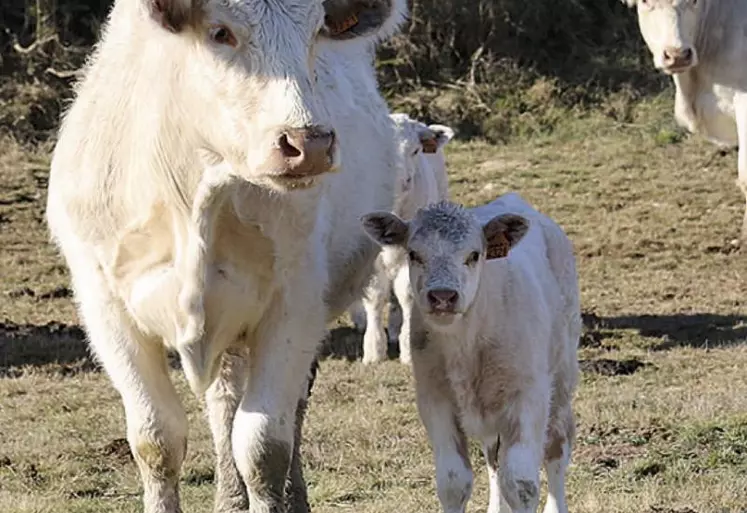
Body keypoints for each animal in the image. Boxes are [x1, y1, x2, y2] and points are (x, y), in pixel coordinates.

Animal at [45, 1, 410, 512]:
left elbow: (263, 445)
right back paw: (229, 498)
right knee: (224, 402)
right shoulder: (106, 306)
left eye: (316, 32)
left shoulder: (295, 303)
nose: (310, 144)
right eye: (220, 33)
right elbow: (156, 439)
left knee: (289, 406)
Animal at [346, 114, 456, 366]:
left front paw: (407, 347)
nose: (402, 180)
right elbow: (375, 296)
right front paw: (374, 349)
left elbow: (406, 294)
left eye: (415, 150)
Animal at [362, 192, 584, 512]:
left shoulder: (528, 398)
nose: (443, 296)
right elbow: (454, 482)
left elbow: (521, 483)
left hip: (562, 379)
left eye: (474, 255)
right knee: (493, 458)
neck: (467, 347)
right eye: (414, 254)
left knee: (556, 446)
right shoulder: (435, 400)